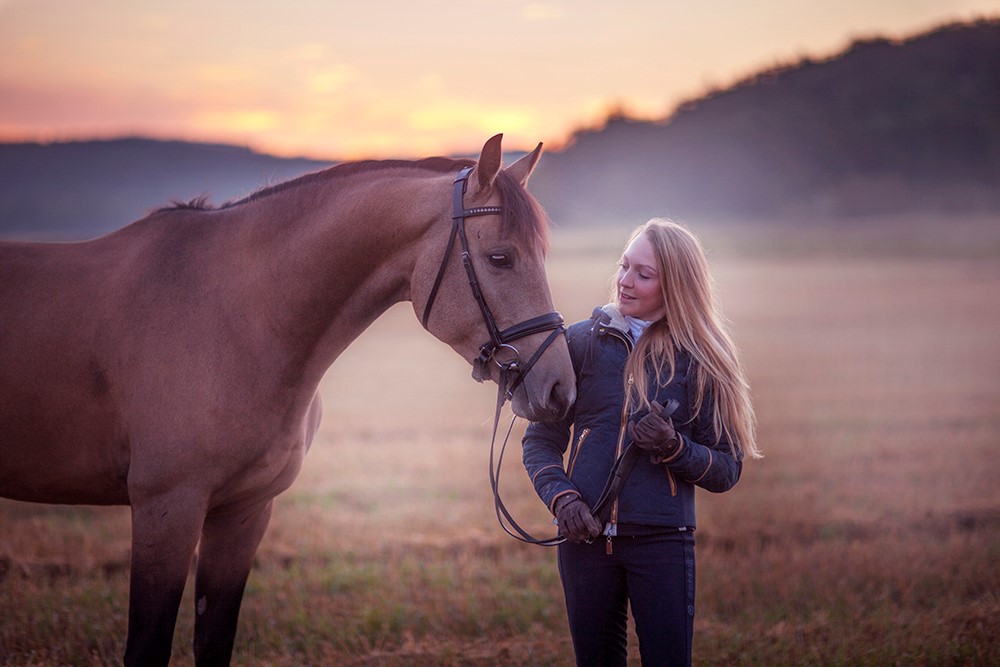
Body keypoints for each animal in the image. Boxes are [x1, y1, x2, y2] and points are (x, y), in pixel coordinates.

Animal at [0, 136, 576, 667]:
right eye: (500, 258)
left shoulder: (244, 511)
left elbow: (213, 640)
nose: (560, 388)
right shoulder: (166, 507)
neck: (233, 317)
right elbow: (147, 646)